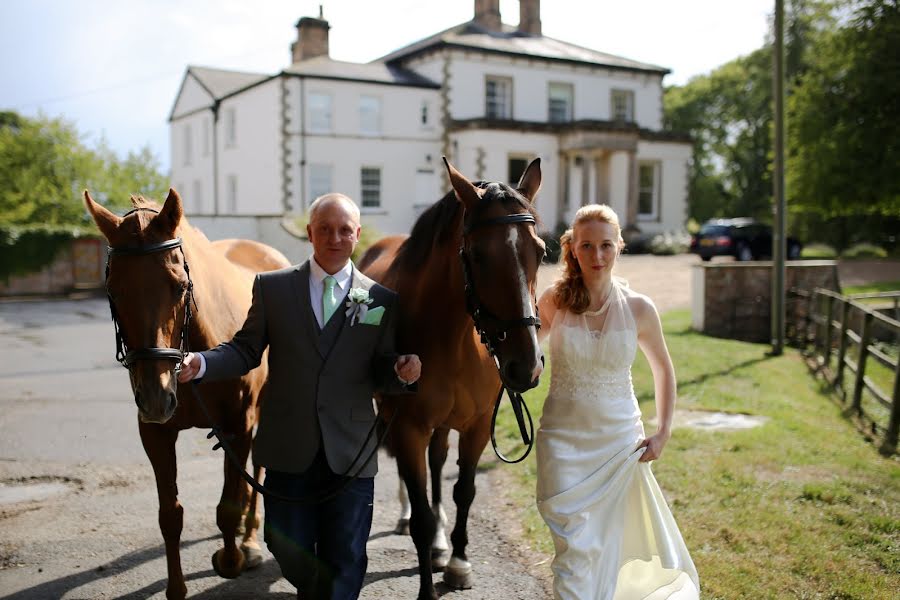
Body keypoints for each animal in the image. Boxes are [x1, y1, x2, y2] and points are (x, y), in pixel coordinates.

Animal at [83, 191, 290, 600]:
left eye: (179, 286)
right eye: (113, 291)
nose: (156, 395)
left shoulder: (238, 426)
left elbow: (228, 505)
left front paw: (231, 557)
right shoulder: (155, 433)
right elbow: (170, 516)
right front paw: (176, 587)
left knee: (257, 468)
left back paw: (250, 539)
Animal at [356, 158, 540, 600]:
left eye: (542, 253)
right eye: (478, 254)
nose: (525, 366)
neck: (453, 336)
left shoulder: (476, 427)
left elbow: (463, 491)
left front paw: (457, 562)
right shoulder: (408, 427)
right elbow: (422, 510)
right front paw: (427, 585)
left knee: (438, 462)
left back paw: (442, 547)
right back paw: (407, 515)